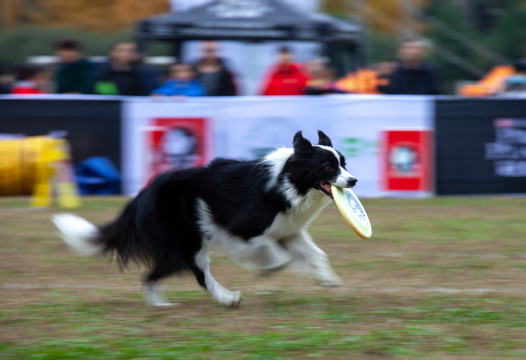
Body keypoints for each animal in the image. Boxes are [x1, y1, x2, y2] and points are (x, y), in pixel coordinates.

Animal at [53, 131, 356, 306]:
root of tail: (141, 195)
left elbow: (316, 254)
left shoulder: (288, 230)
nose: (353, 181)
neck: (289, 181)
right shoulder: (244, 230)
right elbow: (280, 257)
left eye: (343, 163)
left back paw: (166, 303)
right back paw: (224, 298)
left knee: (155, 275)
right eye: (327, 166)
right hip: (185, 243)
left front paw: (326, 278)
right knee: (195, 274)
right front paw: (269, 269)